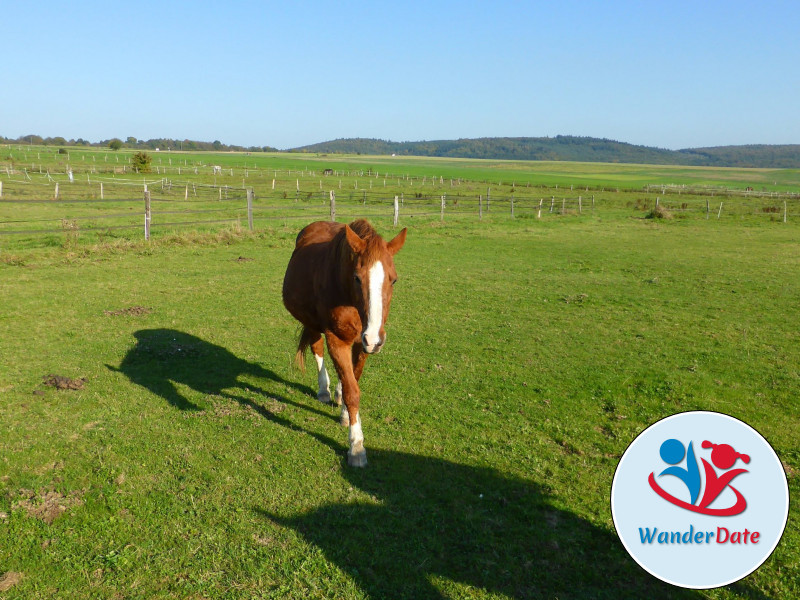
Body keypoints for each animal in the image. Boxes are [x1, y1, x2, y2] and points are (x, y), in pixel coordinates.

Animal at [282, 218, 406, 466]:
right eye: (357, 278)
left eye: (394, 280)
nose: (376, 339)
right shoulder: (337, 339)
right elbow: (352, 391)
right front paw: (356, 447)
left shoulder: (362, 343)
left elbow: (353, 380)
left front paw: (346, 415)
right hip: (312, 323)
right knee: (317, 348)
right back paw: (324, 390)